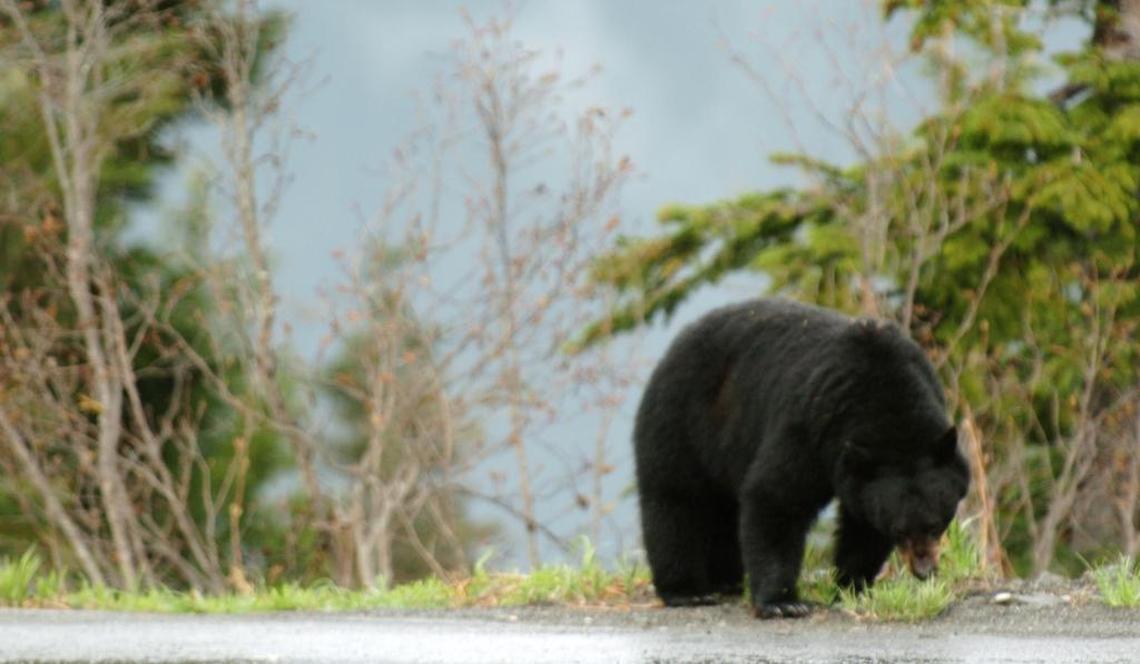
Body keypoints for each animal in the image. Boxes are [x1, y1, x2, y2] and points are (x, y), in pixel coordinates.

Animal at [632, 298, 969, 618]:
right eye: (900, 530)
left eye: (935, 524)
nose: (924, 571)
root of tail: (677, 342)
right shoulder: (810, 426)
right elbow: (777, 497)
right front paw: (783, 602)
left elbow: (863, 525)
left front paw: (852, 585)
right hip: (681, 419)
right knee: (675, 502)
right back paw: (687, 591)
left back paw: (726, 581)